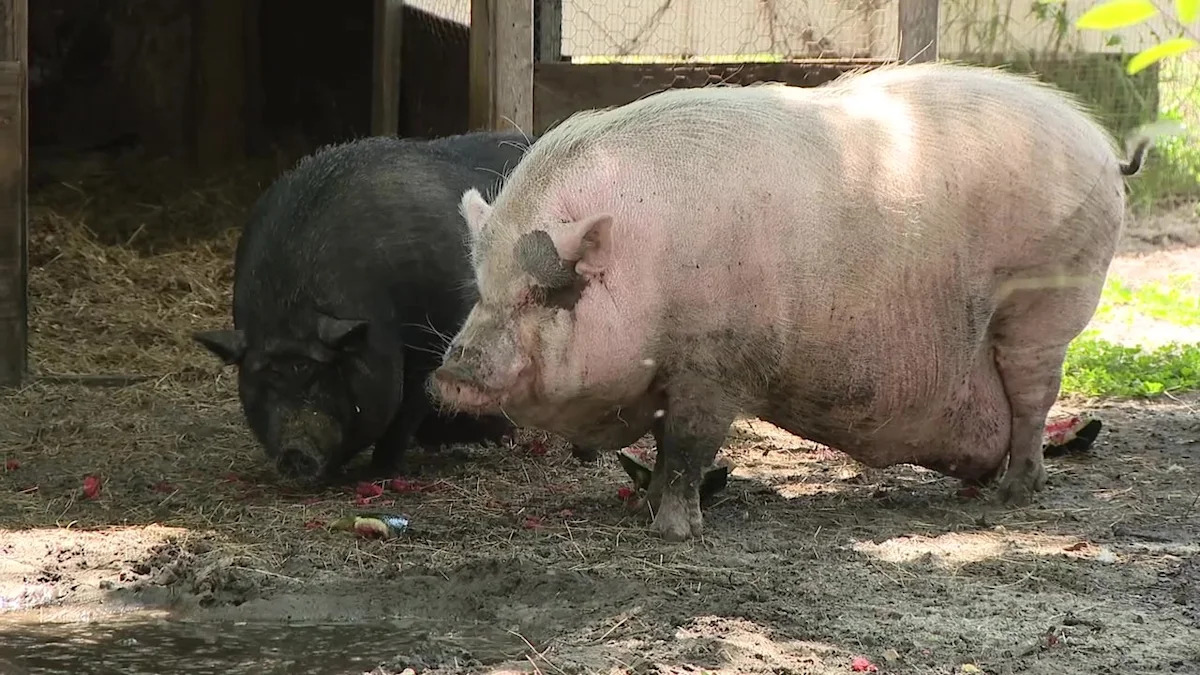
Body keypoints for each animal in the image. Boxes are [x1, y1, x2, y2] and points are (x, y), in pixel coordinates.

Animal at [194, 131, 534, 483]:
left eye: (323, 374)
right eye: (263, 381)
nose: (295, 451)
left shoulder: (431, 341)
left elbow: (407, 410)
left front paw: (381, 468)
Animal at [429, 62, 1150, 541]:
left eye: (548, 290)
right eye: (484, 286)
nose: (452, 371)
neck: (647, 262)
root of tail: (1102, 148)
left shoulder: (715, 363)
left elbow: (688, 446)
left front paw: (673, 532)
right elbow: (664, 447)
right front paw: (649, 507)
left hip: (1045, 306)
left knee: (1034, 400)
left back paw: (1012, 497)